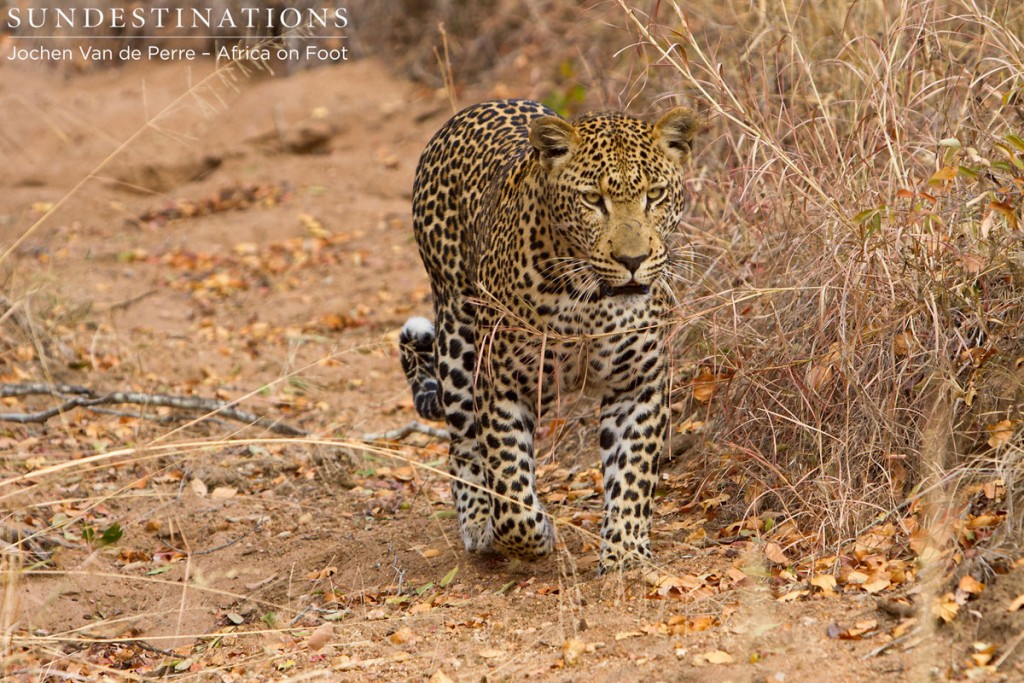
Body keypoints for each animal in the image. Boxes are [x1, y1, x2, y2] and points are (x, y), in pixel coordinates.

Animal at [397, 97, 696, 573]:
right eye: (593, 199)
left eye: (655, 196)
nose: (633, 260)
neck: (591, 302)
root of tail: (476, 107)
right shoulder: (503, 384)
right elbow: (509, 486)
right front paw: (531, 536)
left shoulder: (638, 384)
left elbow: (632, 471)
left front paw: (626, 552)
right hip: (458, 337)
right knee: (463, 446)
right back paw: (478, 524)